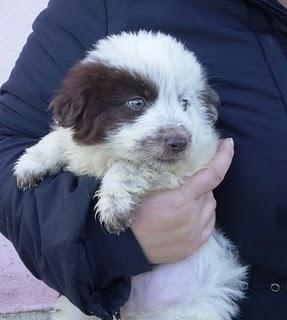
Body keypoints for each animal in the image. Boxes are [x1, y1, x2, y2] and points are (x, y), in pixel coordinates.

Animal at [14, 30, 248, 320]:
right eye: (136, 103)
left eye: (184, 103)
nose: (179, 142)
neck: (107, 150)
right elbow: (60, 140)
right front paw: (30, 163)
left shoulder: (187, 166)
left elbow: (130, 165)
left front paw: (113, 203)